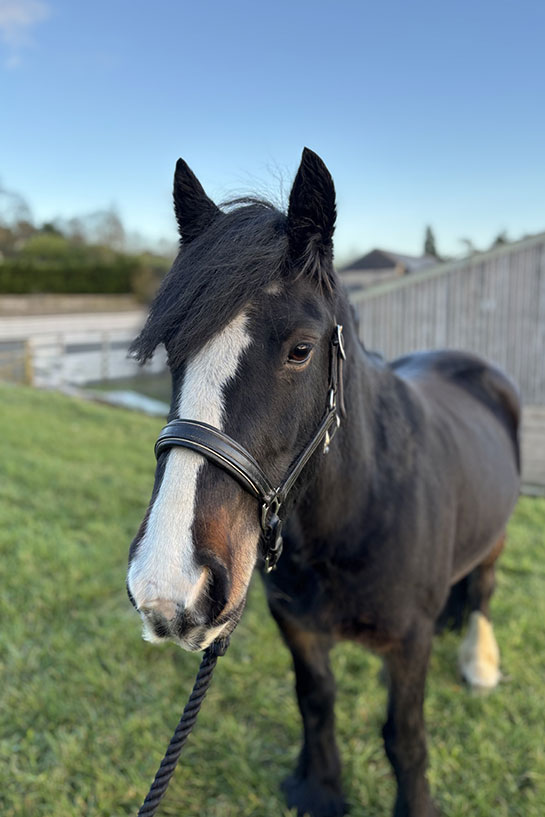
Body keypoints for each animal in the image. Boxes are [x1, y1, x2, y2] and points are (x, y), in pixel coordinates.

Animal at [125, 148, 520, 816]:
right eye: (173, 350)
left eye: (301, 349)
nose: (169, 588)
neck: (360, 511)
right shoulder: (299, 627)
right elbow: (316, 700)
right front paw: (320, 788)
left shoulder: (408, 644)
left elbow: (404, 737)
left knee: (485, 587)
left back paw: (479, 659)